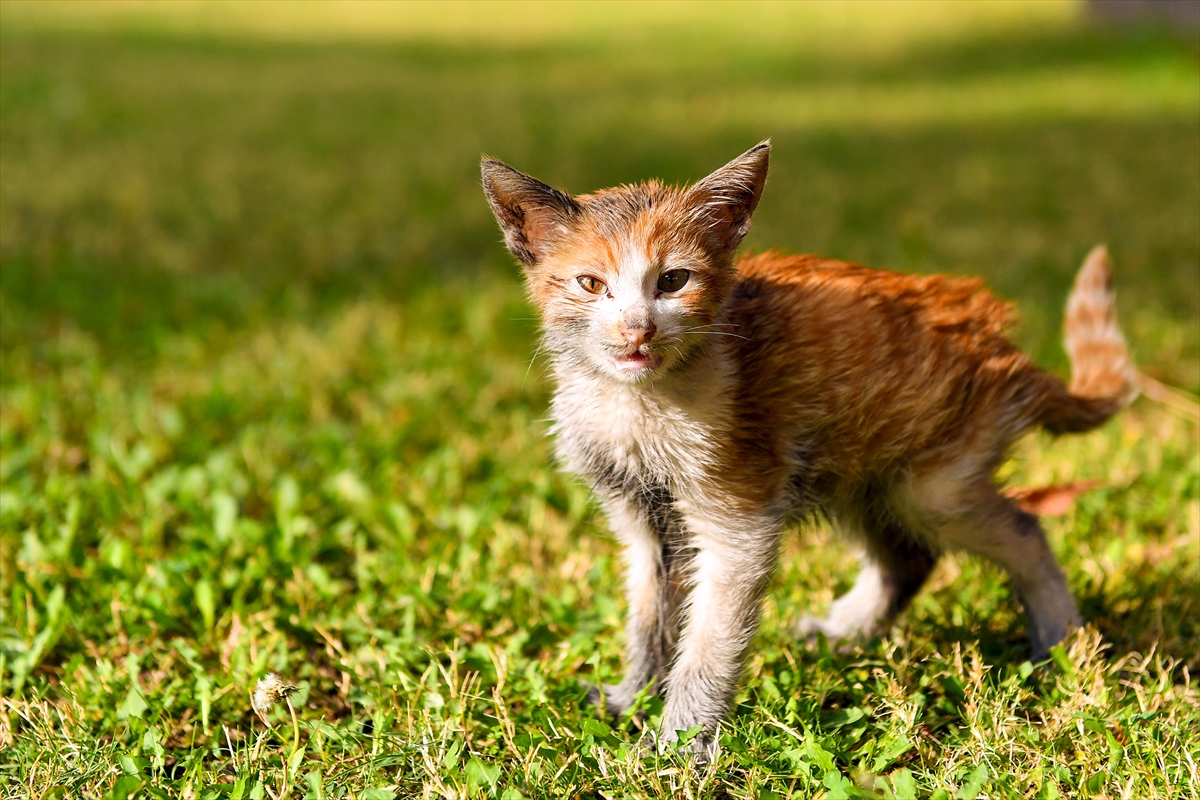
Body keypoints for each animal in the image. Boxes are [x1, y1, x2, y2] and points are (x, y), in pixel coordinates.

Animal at [480, 142, 1132, 758]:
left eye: (673, 281)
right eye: (591, 284)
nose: (638, 329)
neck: (635, 405)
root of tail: (1009, 350)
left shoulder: (739, 523)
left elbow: (709, 645)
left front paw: (677, 747)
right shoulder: (645, 520)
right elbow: (651, 621)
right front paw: (631, 700)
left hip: (929, 487)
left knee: (1022, 528)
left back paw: (1061, 645)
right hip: (858, 479)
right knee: (911, 557)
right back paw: (847, 634)